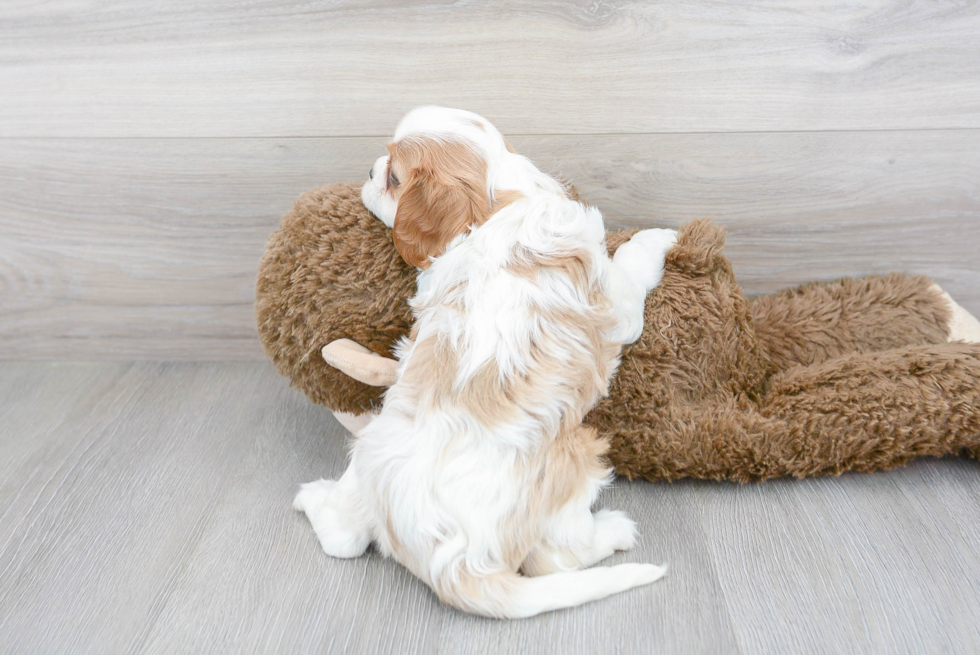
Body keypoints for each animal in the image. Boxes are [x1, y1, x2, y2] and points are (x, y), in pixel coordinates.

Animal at [294, 107, 676, 620]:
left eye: (393, 178)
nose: (370, 171)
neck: (500, 207)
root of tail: (454, 563)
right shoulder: (619, 308)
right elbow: (632, 265)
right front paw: (655, 239)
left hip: (369, 456)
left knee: (343, 537)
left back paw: (311, 498)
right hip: (577, 461)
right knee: (556, 559)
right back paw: (614, 531)